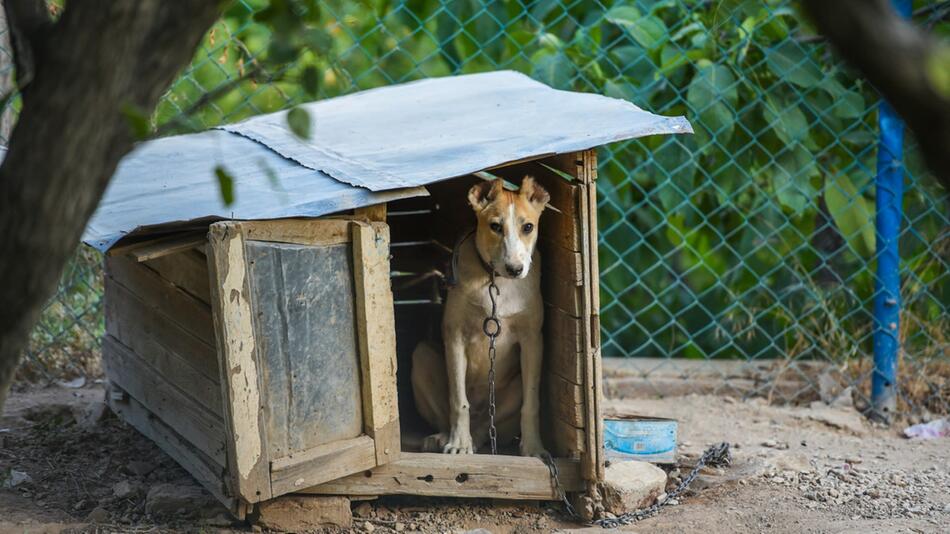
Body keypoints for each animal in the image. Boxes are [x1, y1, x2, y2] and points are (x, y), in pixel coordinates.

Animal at [410, 176, 552, 456]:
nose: (515, 269)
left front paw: (533, 448)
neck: (496, 281)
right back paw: (444, 438)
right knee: (455, 417)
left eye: (528, 227)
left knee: (486, 428)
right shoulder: (454, 336)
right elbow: (458, 400)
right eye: (495, 226)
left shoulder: (532, 340)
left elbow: (531, 405)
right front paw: (458, 444)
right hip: (421, 355)